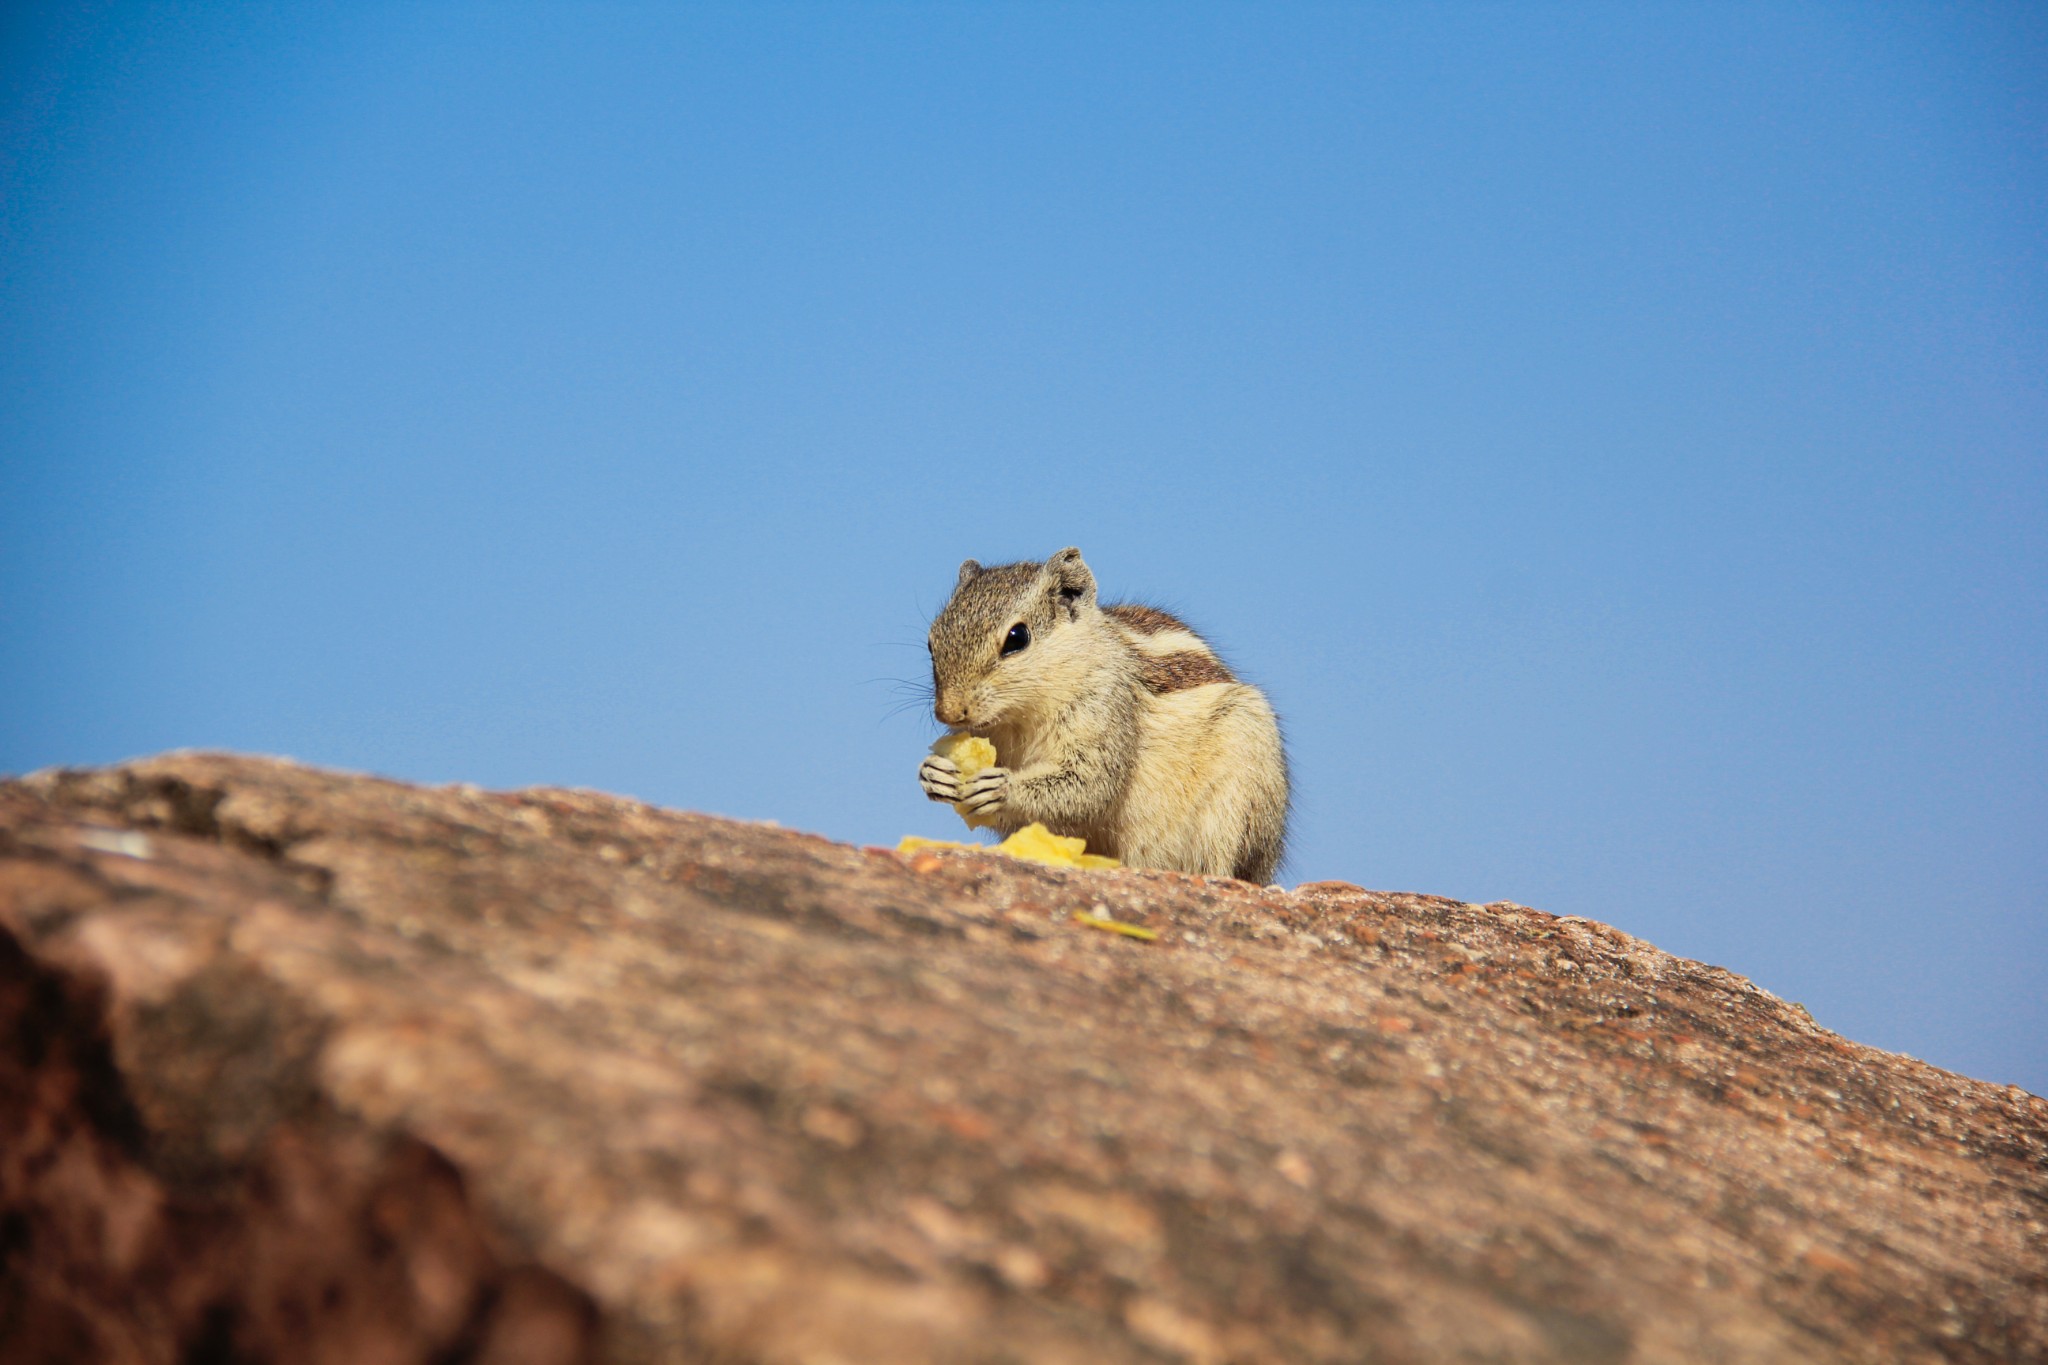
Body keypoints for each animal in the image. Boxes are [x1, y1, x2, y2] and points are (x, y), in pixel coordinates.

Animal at [921, 548, 1286, 888]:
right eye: (931, 641)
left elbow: (1089, 785)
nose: (949, 712)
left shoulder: (1106, 713)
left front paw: (1001, 787)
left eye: (1017, 638)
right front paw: (933, 773)